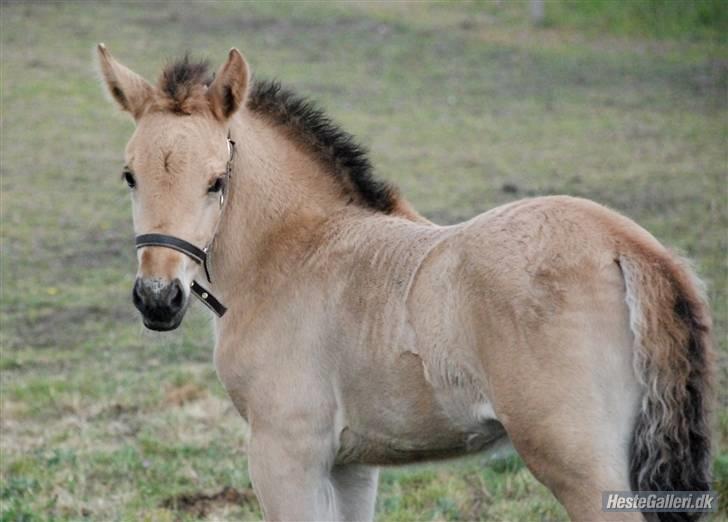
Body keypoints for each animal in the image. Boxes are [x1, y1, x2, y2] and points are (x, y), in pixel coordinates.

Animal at [96, 45, 716, 520]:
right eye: (129, 175)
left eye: (217, 181)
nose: (158, 298)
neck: (296, 253)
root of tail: (626, 244)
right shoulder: (351, 464)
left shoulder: (286, 453)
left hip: (579, 464)